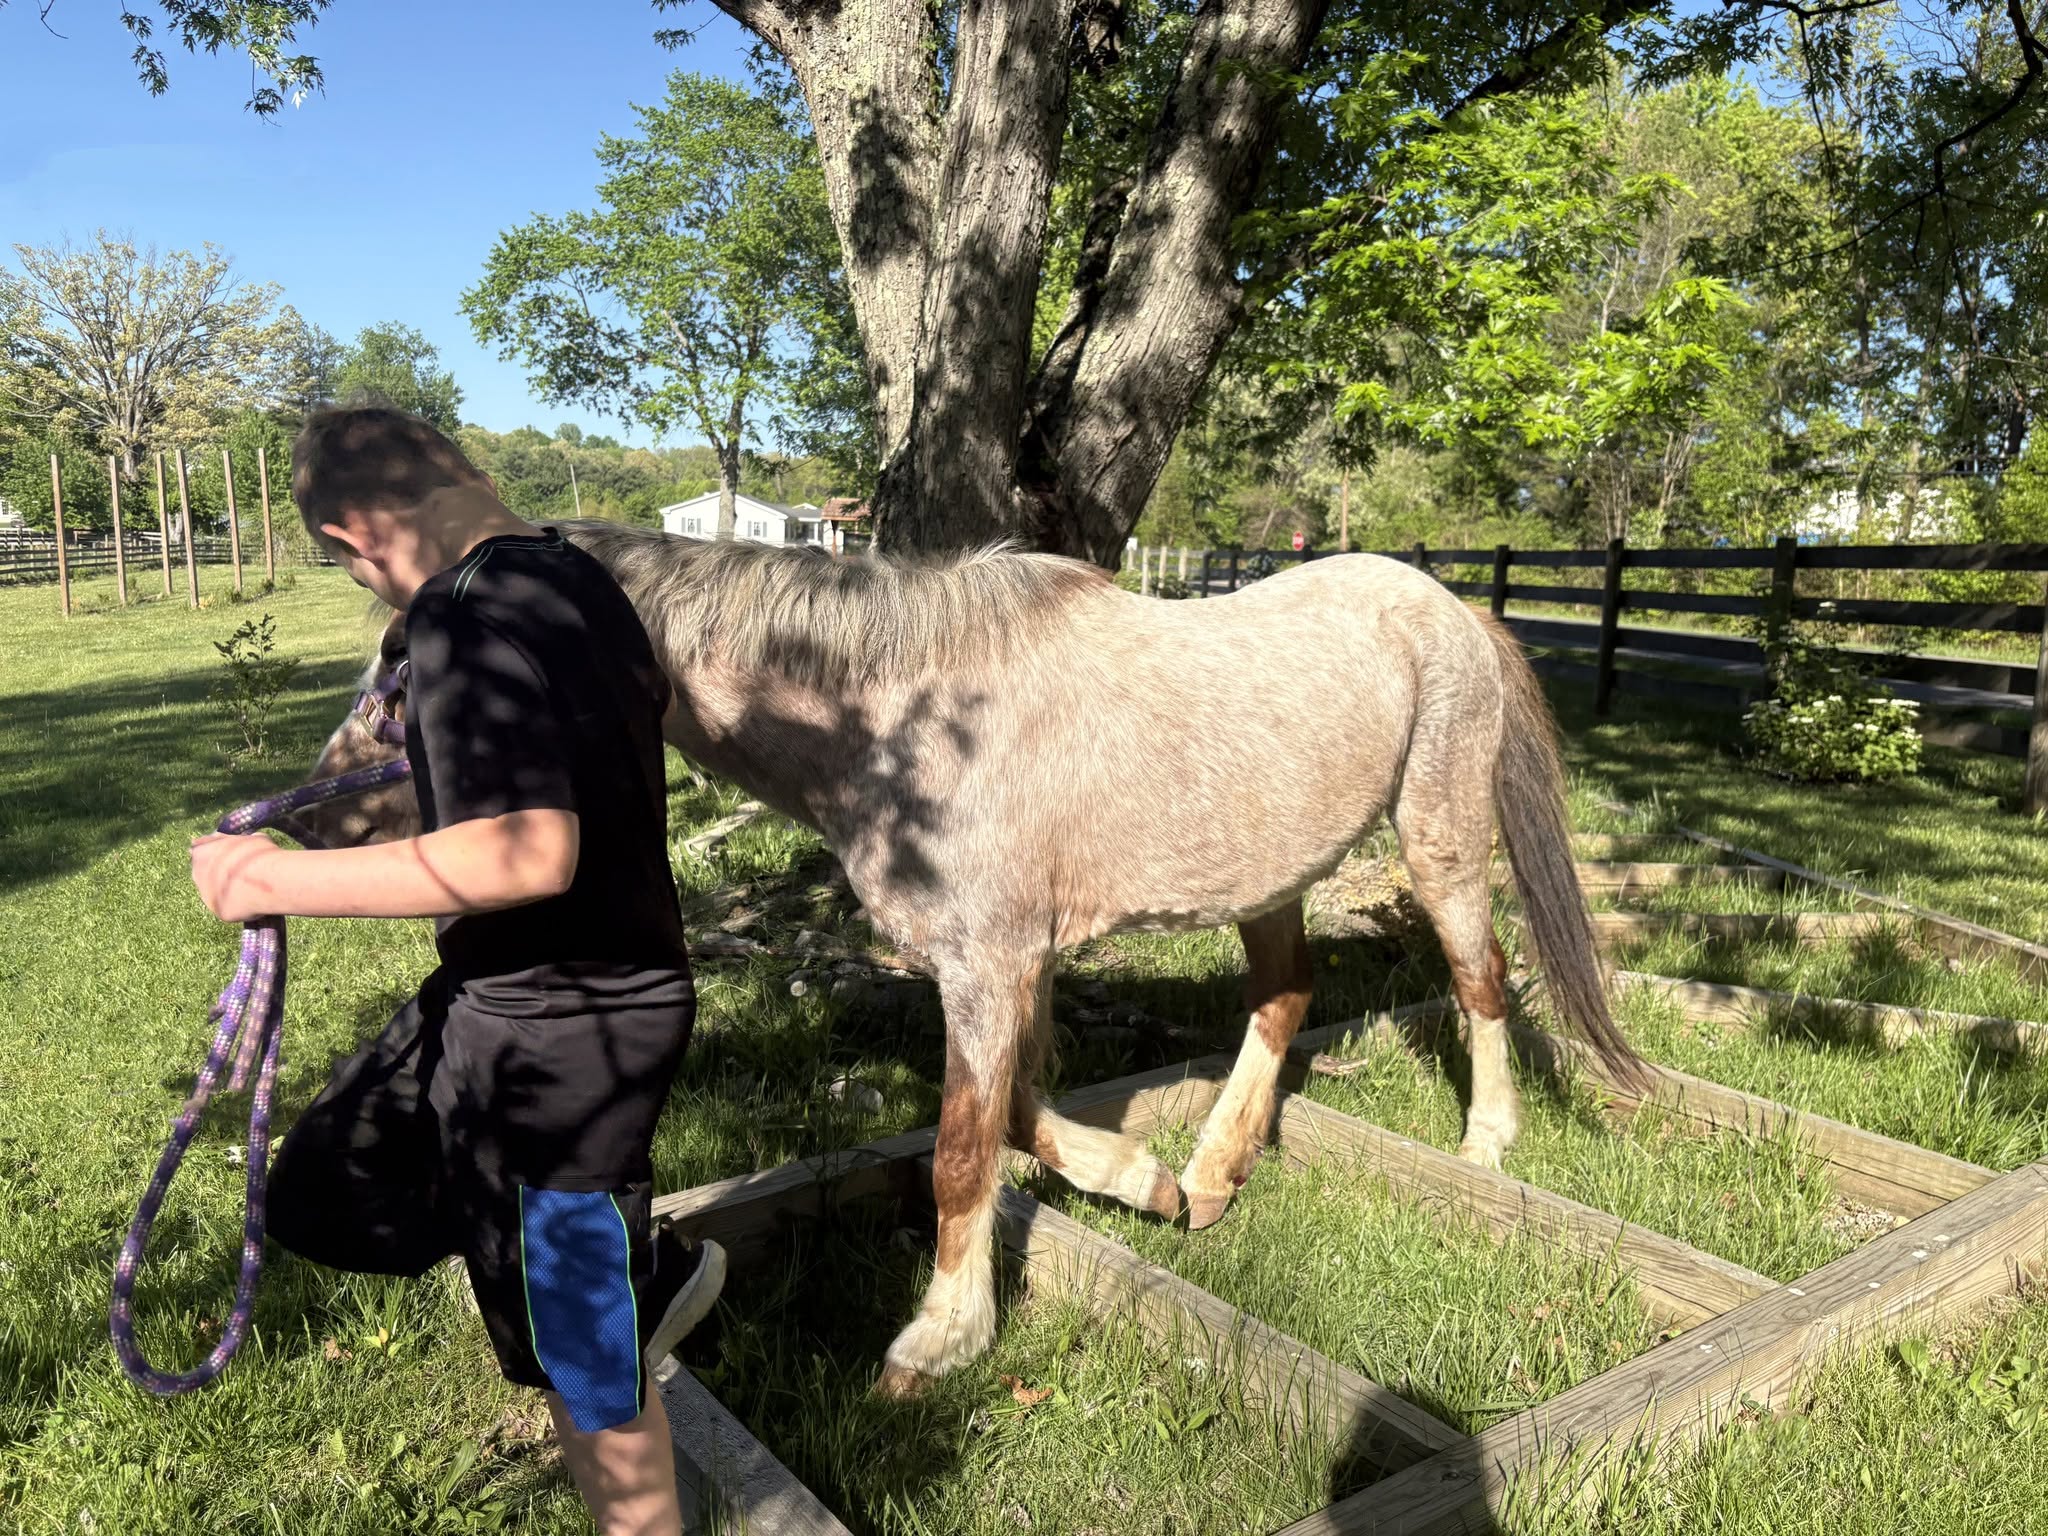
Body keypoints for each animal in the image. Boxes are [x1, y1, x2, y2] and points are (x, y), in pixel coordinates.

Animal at [293, 522, 1640, 1398]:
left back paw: (1485, 1144)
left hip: (1437, 837)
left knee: (1477, 981)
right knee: (1283, 996)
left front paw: (938, 1338)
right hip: (1266, 877)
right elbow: (1018, 1118)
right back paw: (1211, 1171)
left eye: (411, 672)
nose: (308, 821)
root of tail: (1449, 605)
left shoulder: (986, 966)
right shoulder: (1004, 967)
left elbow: (957, 1153)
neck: (905, 721)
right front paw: (1139, 1183)